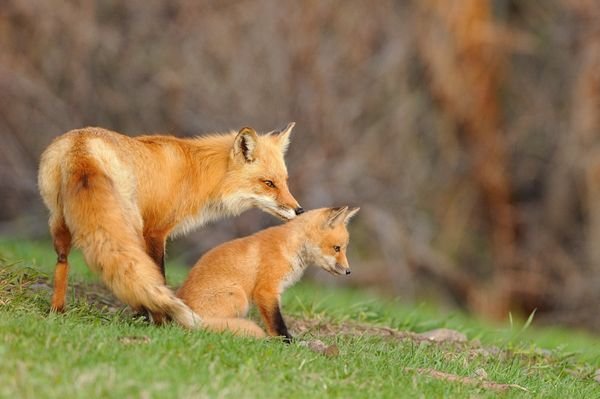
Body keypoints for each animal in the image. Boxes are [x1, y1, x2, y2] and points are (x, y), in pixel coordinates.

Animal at [37, 124, 300, 328]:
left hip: (59, 218)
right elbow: (159, 275)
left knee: (63, 261)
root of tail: (82, 144)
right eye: (268, 183)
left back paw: (57, 310)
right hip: (128, 222)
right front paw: (159, 320)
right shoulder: (155, 230)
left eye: (285, 181)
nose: (299, 210)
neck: (195, 173)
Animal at [176, 206, 358, 340]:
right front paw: (286, 341)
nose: (349, 271)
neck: (290, 247)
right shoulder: (266, 291)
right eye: (337, 248)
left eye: (344, 249)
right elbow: (276, 323)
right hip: (240, 298)